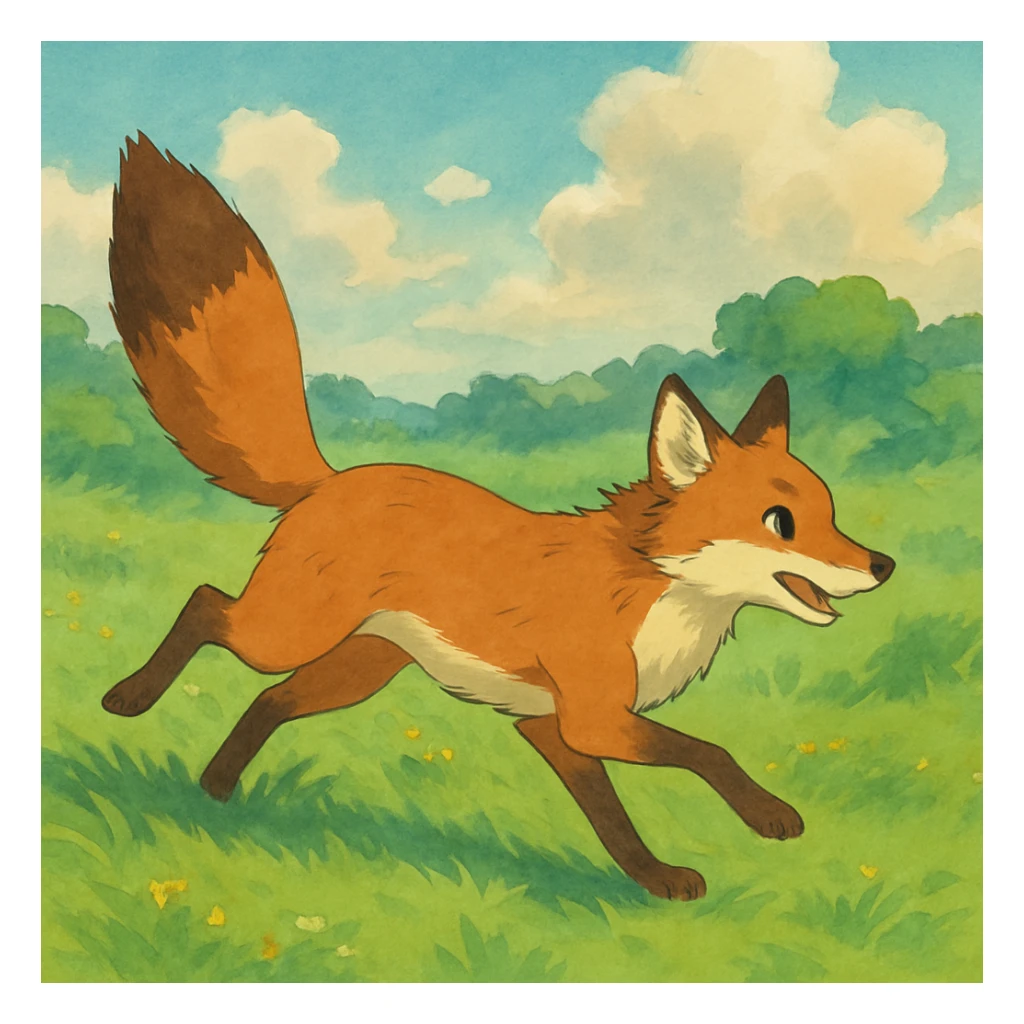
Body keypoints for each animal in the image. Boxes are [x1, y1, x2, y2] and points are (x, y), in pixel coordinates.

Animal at [100, 133, 895, 901]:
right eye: (780, 522)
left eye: (831, 514)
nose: (884, 566)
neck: (655, 590)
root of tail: (334, 478)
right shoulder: (591, 718)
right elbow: (709, 751)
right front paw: (766, 816)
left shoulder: (555, 728)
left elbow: (613, 820)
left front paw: (655, 880)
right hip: (285, 633)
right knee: (207, 605)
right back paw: (129, 698)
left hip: (357, 669)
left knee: (268, 698)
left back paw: (216, 788)